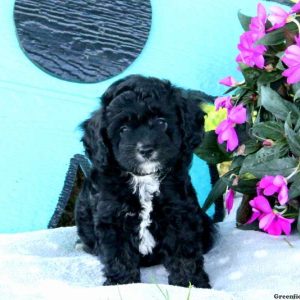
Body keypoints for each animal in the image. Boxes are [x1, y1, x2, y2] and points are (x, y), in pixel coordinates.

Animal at [74, 75, 216, 288]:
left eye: (161, 122)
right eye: (123, 129)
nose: (146, 149)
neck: (143, 178)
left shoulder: (179, 212)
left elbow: (184, 250)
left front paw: (191, 282)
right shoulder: (112, 218)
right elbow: (119, 255)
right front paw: (121, 283)